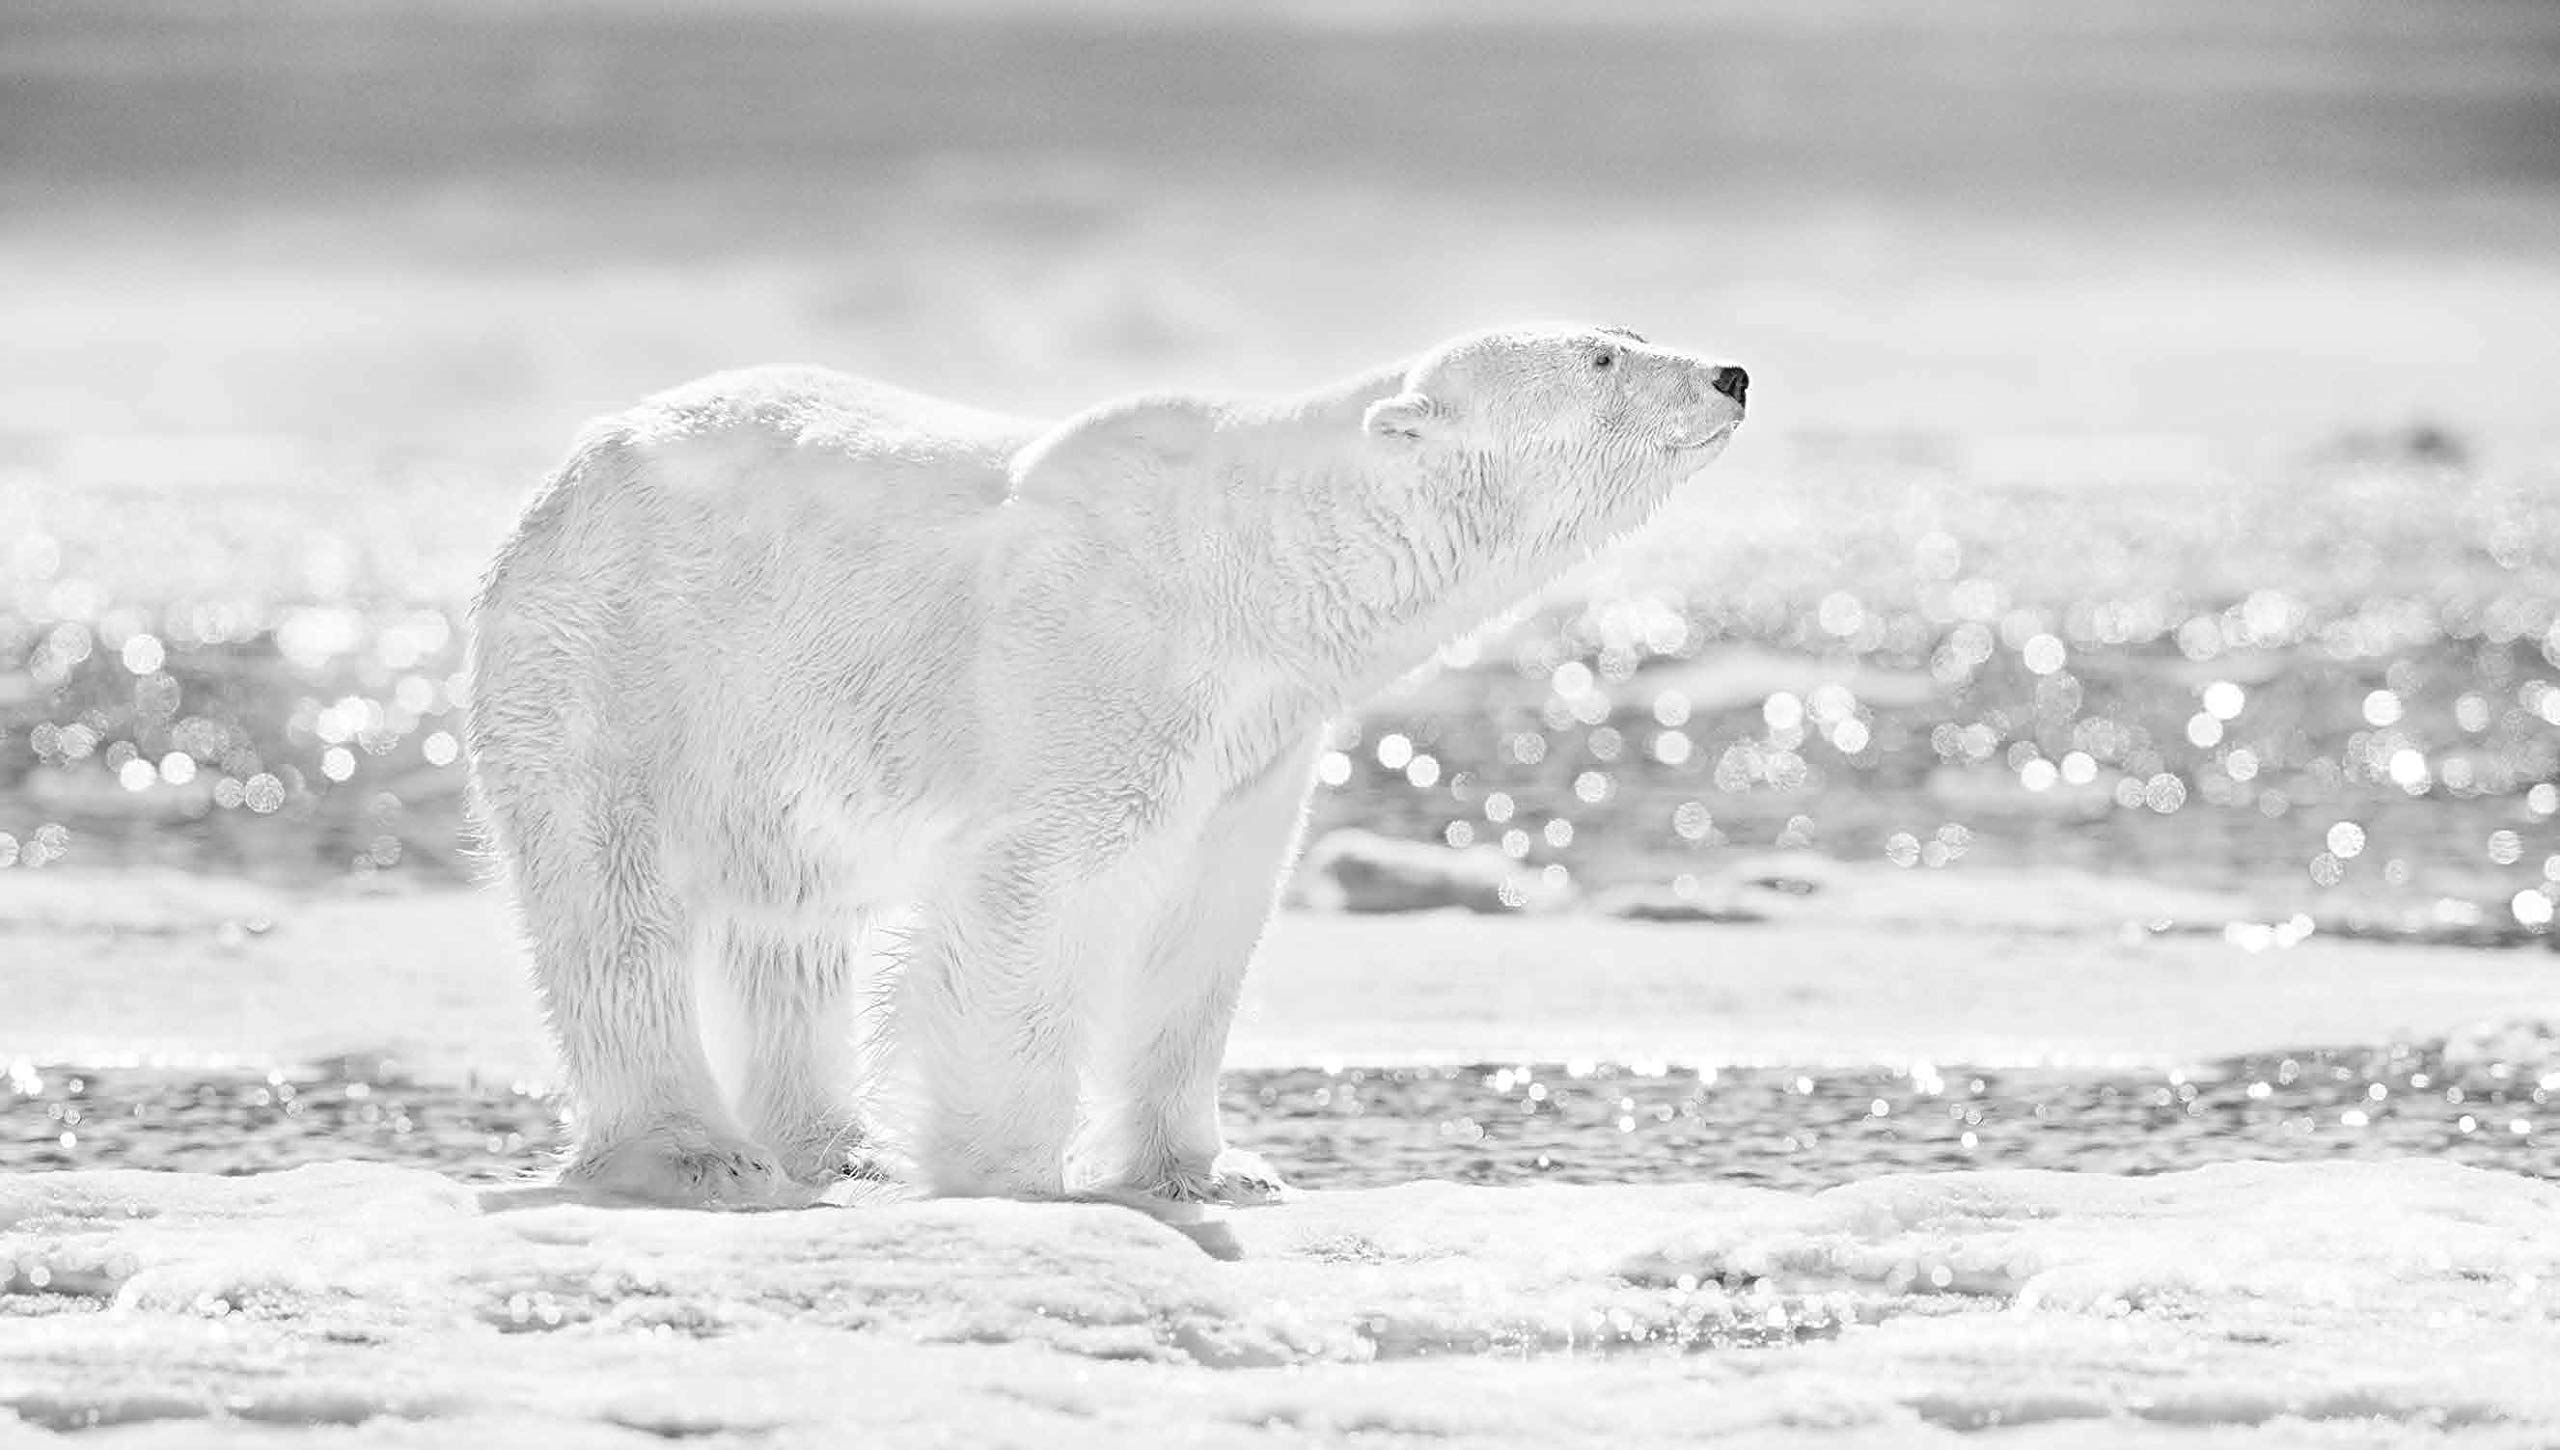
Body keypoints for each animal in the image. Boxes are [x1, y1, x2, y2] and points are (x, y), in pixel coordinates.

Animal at [465, 324, 1740, 1209]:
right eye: (1602, 356)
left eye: (1624, 330)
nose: (1729, 375)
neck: (1259, 564)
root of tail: (571, 470)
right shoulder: (1107, 654)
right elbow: (1042, 891)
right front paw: (1007, 1171)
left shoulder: (1260, 738)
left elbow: (1204, 927)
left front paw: (1215, 1170)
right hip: (624, 660)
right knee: (614, 909)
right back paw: (696, 1152)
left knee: (790, 926)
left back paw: (841, 1145)